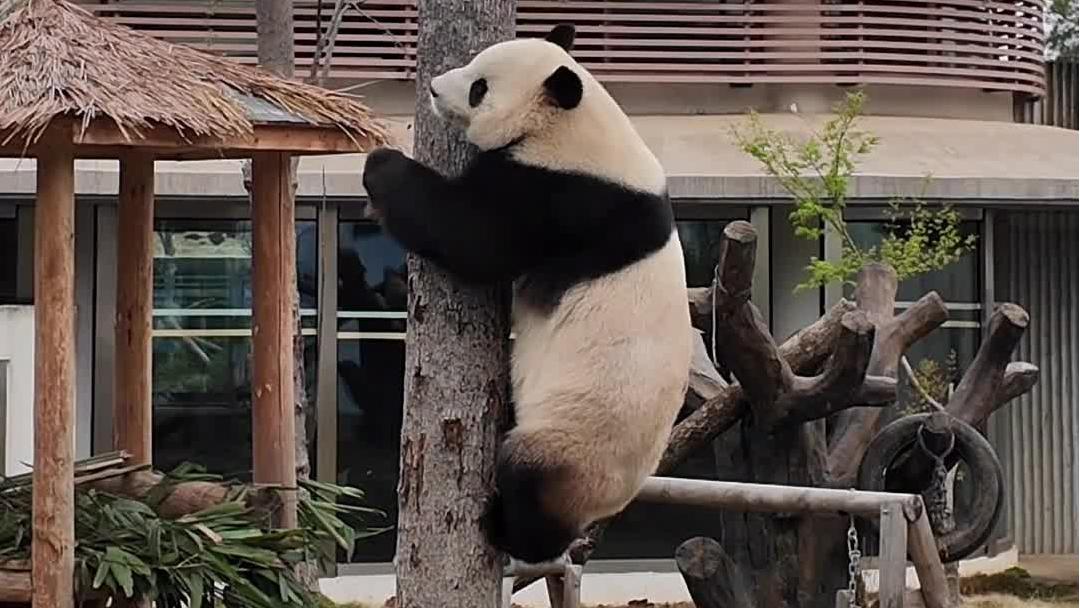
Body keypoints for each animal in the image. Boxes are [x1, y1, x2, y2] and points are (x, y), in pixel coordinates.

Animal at [360, 23, 692, 565]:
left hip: (574, 441)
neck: (577, 126)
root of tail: (613, 500)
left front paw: (382, 163)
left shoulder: (560, 197)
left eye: (480, 87)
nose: (433, 88)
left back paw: (509, 531)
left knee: (529, 479)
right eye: (473, 63)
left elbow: (471, 236)